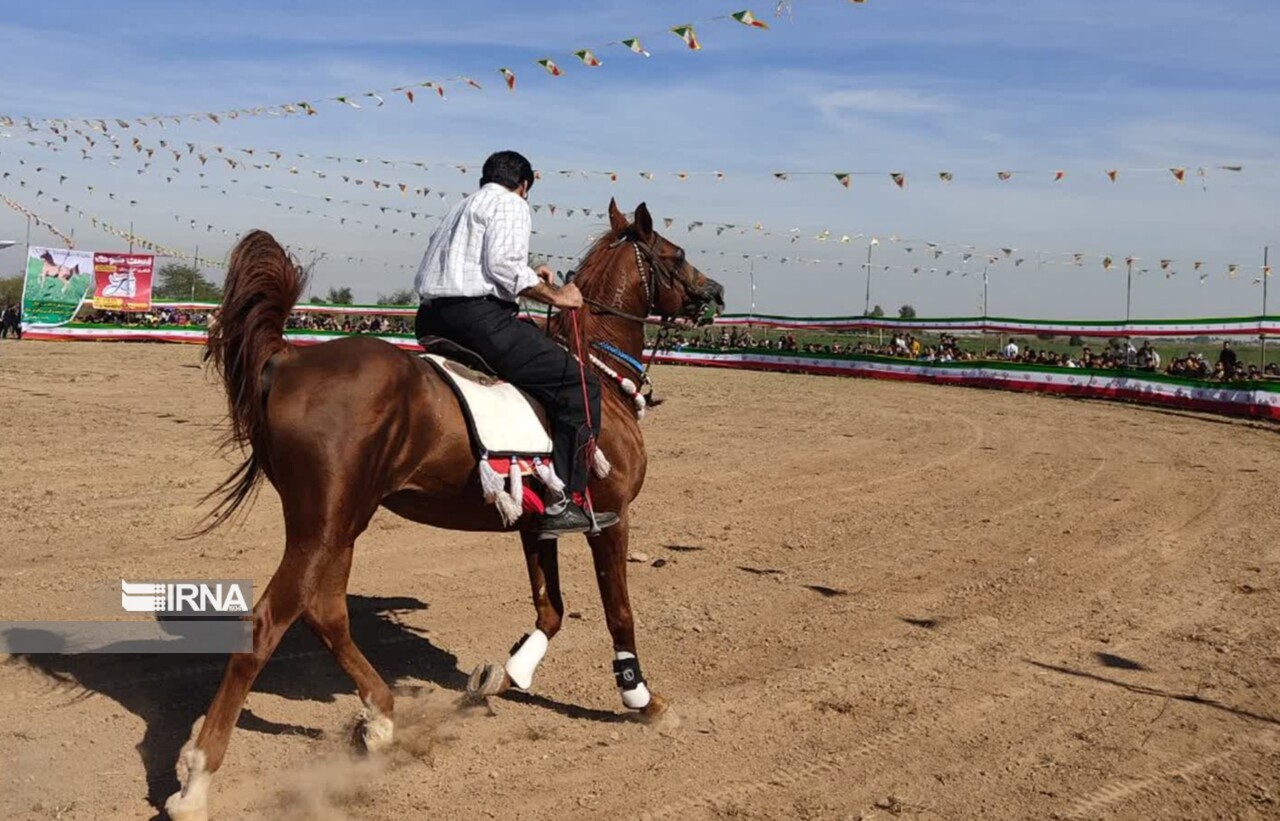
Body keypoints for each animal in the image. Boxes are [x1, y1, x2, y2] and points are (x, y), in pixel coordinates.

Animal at [168, 199, 727, 819]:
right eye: (676, 254)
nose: (716, 292)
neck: (596, 376)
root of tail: (289, 359)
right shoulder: (610, 520)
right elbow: (618, 613)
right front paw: (642, 699)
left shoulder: (539, 525)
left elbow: (551, 609)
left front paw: (501, 677)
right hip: (324, 524)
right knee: (269, 623)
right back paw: (197, 780)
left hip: (339, 523)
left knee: (326, 612)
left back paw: (380, 719)